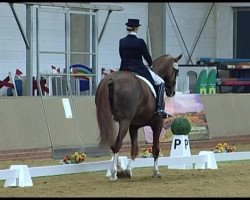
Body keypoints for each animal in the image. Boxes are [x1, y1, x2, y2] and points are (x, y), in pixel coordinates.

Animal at [95, 53, 182, 181]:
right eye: (176, 71)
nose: (172, 92)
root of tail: (112, 79)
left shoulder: (134, 126)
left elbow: (135, 149)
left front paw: (127, 170)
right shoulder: (157, 123)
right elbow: (155, 148)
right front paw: (156, 172)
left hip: (110, 119)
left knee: (112, 143)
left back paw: (118, 169)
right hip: (125, 121)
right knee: (117, 143)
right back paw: (114, 173)